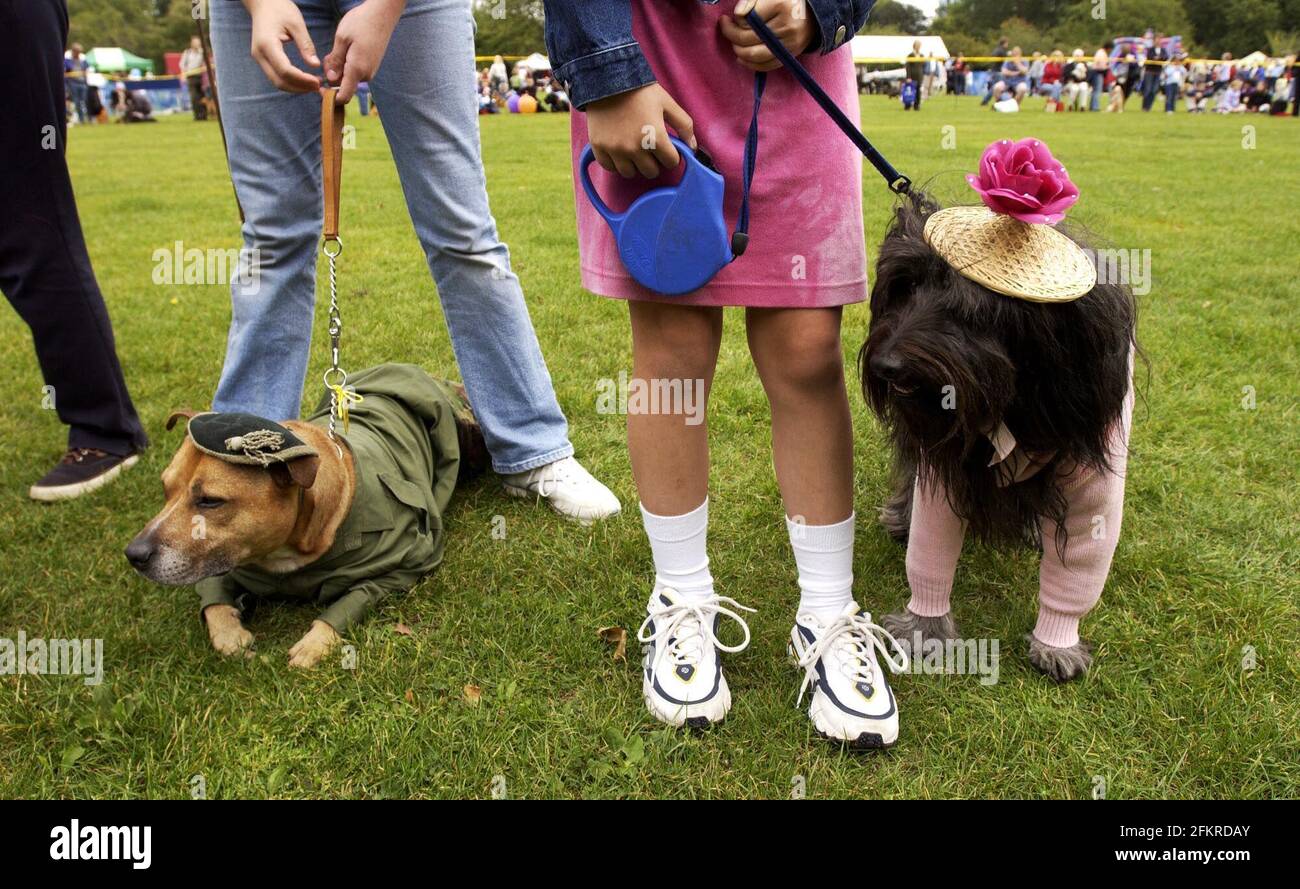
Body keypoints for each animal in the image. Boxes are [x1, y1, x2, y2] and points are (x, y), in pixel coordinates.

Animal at [124, 363, 483, 665]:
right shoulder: (221, 561)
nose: (134, 554)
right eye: (165, 489)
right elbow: (215, 603)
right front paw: (230, 634)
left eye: (211, 501)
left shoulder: (404, 567)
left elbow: (349, 602)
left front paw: (314, 644)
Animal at [863, 192, 1138, 681]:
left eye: (969, 310)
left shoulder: (1095, 473)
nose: (886, 366)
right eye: (905, 287)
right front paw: (923, 627)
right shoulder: (944, 460)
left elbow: (1083, 558)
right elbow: (930, 549)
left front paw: (1057, 643)